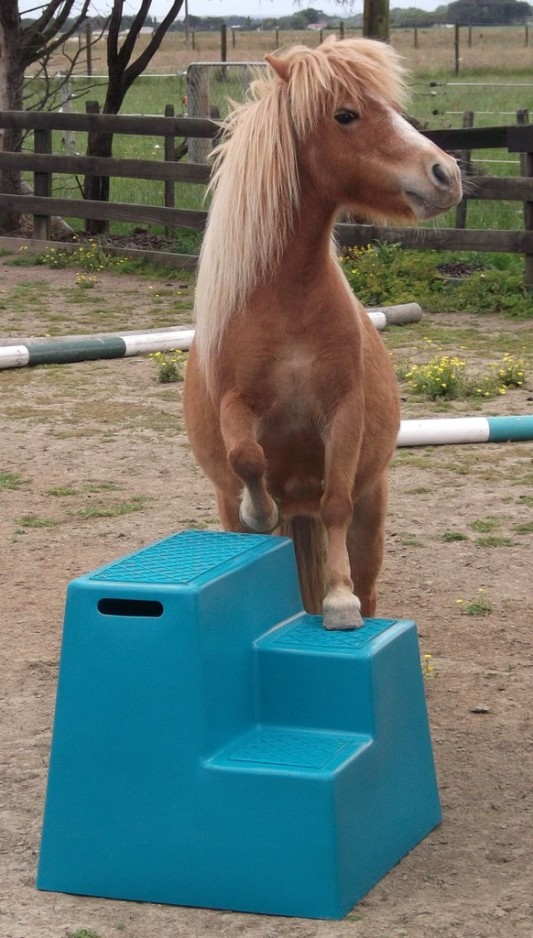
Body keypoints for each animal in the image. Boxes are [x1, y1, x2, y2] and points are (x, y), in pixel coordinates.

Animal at [184, 36, 462, 628]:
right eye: (346, 115)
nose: (444, 174)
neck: (286, 303)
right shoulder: (236, 403)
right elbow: (248, 458)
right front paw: (259, 507)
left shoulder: (343, 410)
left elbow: (335, 500)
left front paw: (338, 600)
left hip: (372, 511)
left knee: (366, 572)